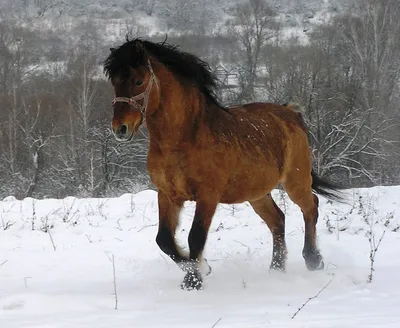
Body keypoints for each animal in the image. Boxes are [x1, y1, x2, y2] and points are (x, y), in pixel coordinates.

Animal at [103, 37, 340, 290]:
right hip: (257, 193)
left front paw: (195, 279)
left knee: (311, 206)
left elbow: (195, 237)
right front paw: (199, 269)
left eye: (138, 80)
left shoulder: (208, 195)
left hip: (296, 180)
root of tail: (290, 113)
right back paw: (276, 269)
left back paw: (313, 260)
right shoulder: (168, 194)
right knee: (278, 220)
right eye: (114, 82)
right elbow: (164, 240)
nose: (120, 128)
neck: (184, 137)